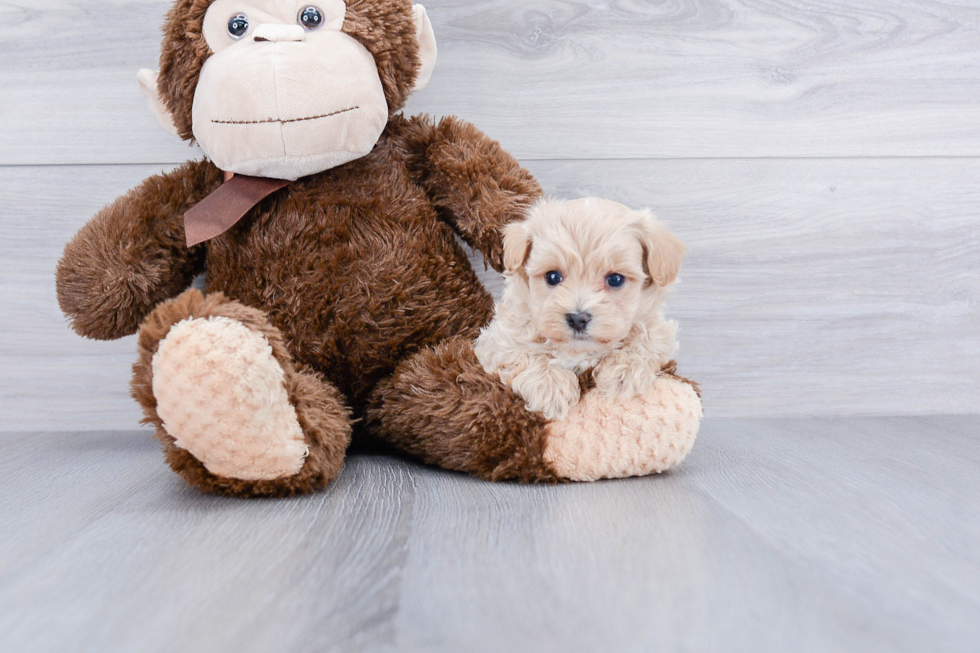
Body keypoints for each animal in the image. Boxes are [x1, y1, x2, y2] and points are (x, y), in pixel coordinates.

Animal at [472, 196, 684, 420]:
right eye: (552, 277)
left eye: (615, 279)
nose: (577, 319)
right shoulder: (497, 339)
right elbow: (521, 351)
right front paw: (552, 387)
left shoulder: (659, 329)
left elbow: (647, 339)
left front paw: (622, 372)